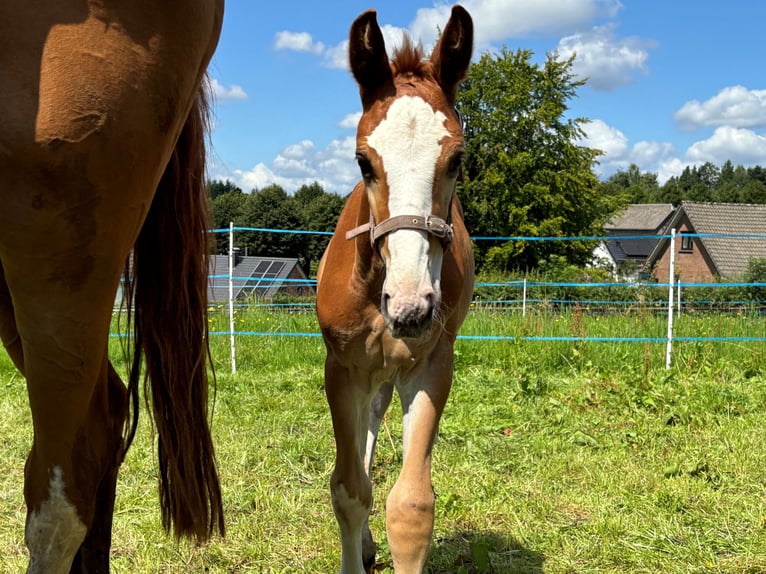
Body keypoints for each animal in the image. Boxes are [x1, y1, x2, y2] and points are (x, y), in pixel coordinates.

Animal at [316, 5, 474, 574]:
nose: (410, 308)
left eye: (457, 159)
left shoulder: (431, 367)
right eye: (364, 160)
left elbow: (410, 506)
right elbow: (348, 490)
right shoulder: (342, 369)